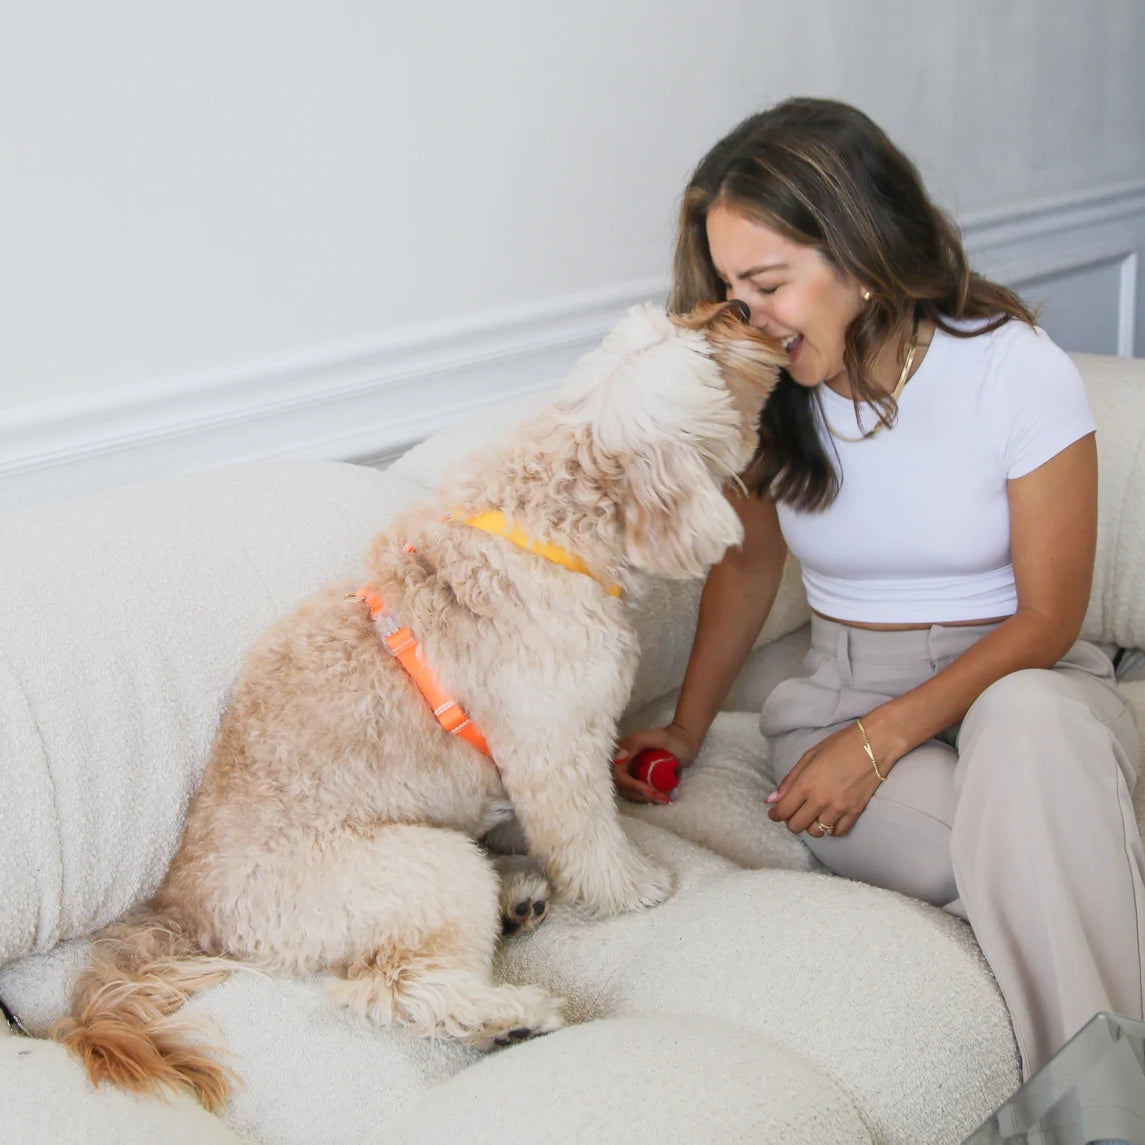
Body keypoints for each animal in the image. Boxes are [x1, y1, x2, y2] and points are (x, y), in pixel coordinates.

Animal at [58, 297, 783, 1108]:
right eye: (707, 346)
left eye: (689, 316)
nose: (738, 304)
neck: (548, 514)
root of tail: (183, 908)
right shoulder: (556, 750)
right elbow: (588, 836)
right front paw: (631, 886)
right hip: (425, 867)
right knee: (389, 987)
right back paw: (510, 1016)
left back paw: (515, 905)